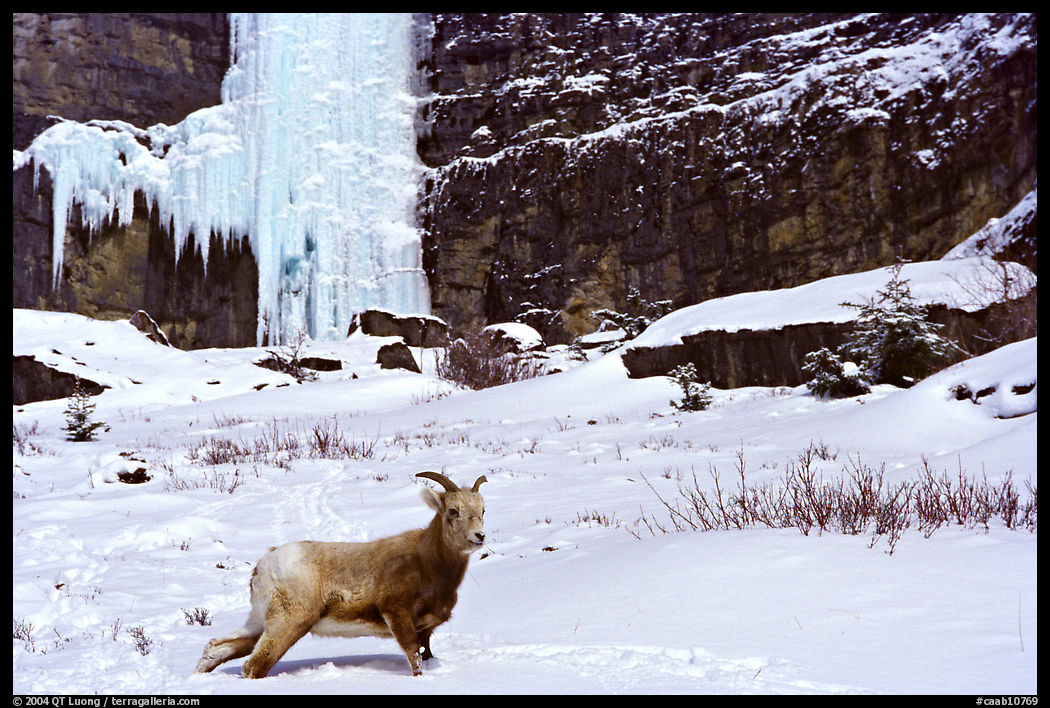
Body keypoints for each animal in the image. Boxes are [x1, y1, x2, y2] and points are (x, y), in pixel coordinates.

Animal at [194, 471, 487, 678]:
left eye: (482, 511)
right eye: (452, 511)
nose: (479, 536)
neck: (426, 563)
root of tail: (264, 565)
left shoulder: (425, 630)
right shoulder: (397, 615)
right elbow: (414, 661)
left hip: (259, 622)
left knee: (220, 647)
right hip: (288, 623)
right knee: (255, 666)